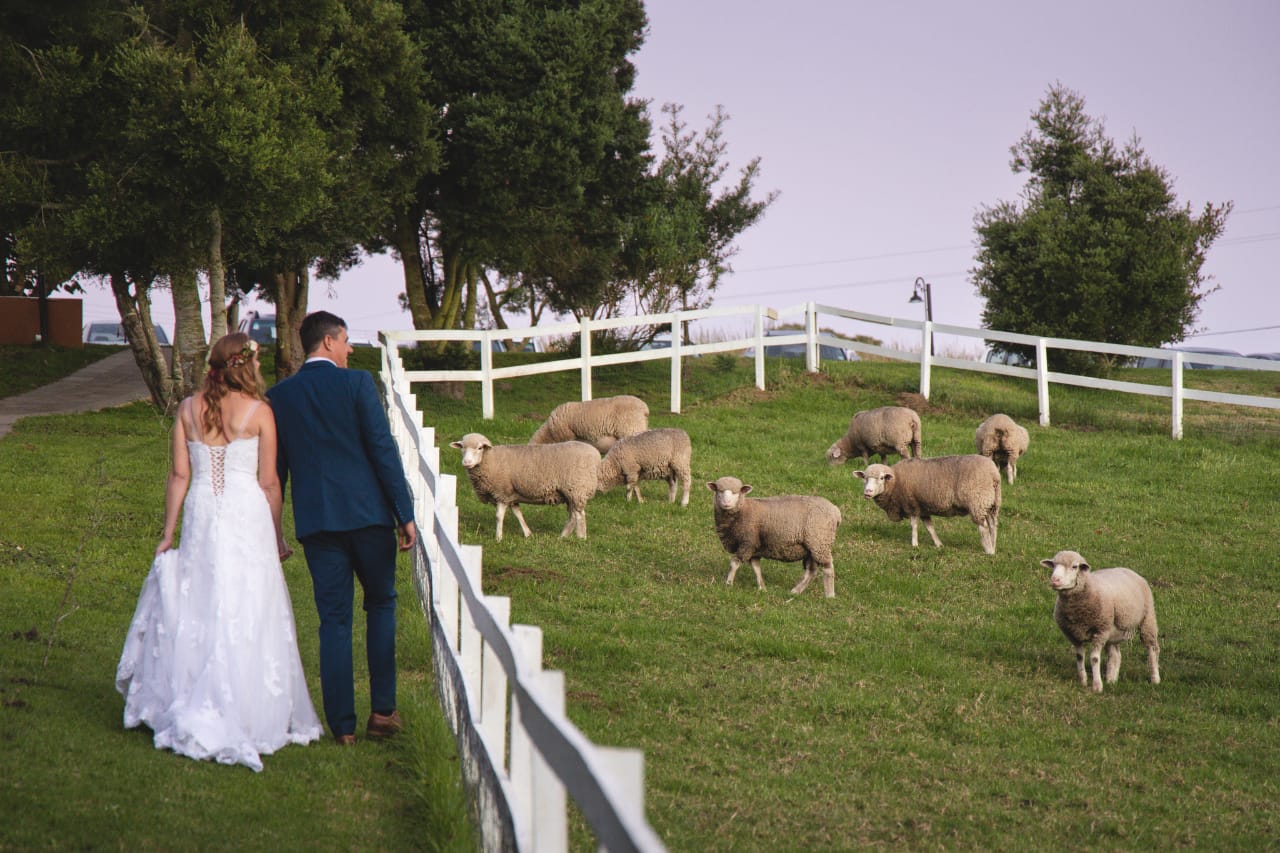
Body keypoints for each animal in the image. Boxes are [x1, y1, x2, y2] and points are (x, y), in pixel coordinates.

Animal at [450, 432, 599, 537]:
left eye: (480, 448)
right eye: (462, 447)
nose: (466, 462)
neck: (490, 459)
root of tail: (595, 454)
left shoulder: (502, 492)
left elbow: (499, 516)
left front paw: (498, 537)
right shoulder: (511, 494)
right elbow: (518, 513)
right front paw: (527, 533)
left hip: (576, 488)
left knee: (579, 515)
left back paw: (580, 537)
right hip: (570, 492)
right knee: (573, 515)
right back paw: (563, 536)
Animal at [706, 471, 844, 596]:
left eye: (736, 492)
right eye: (719, 491)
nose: (726, 503)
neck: (742, 511)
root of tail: (835, 511)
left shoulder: (747, 543)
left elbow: (734, 563)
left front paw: (728, 584)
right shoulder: (755, 547)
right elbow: (756, 568)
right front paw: (762, 588)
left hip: (820, 542)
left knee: (828, 569)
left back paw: (829, 596)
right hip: (811, 547)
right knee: (811, 571)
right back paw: (795, 592)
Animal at [855, 450, 1003, 550]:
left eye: (881, 478)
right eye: (865, 478)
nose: (867, 492)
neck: (896, 481)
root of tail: (993, 473)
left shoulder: (912, 504)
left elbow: (914, 525)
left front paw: (914, 544)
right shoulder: (923, 508)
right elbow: (929, 527)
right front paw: (938, 544)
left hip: (978, 501)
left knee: (983, 527)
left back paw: (988, 550)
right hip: (992, 502)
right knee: (993, 525)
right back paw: (994, 546)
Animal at [1044, 548, 1167, 696]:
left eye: (1074, 566)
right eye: (1053, 565)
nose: (1054, 580)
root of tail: (1128, 570)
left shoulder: (1100, 631)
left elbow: (1094, 659)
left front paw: (1097, 686)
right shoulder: (1073, 635)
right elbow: (1079, 657)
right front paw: (1083, 681)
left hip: (1147, 619)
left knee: (1152, 648)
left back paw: (1155, 678)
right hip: (1113, 630)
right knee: (1115, 655)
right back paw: (1111, 680)